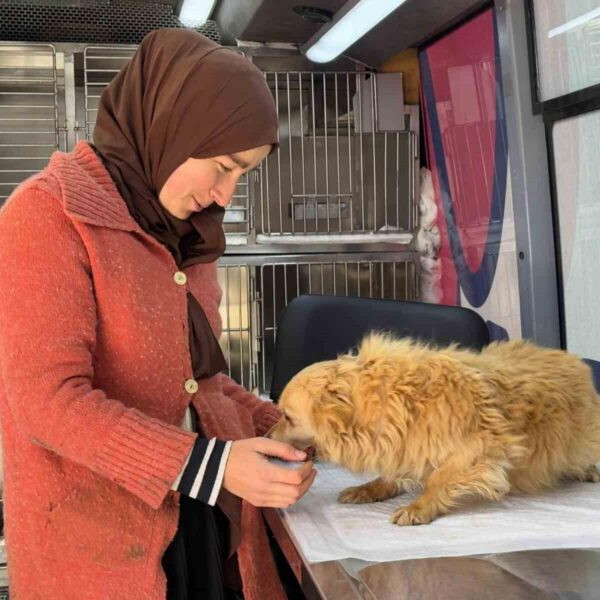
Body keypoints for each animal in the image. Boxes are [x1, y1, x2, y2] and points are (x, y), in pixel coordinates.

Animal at [270, 336, 600, 528]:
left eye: (287, 416)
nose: (268, 436)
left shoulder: (485, 447)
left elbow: (440, 478)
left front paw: (419, 506)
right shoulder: (404, 447)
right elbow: (392, 475)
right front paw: (370, 489)